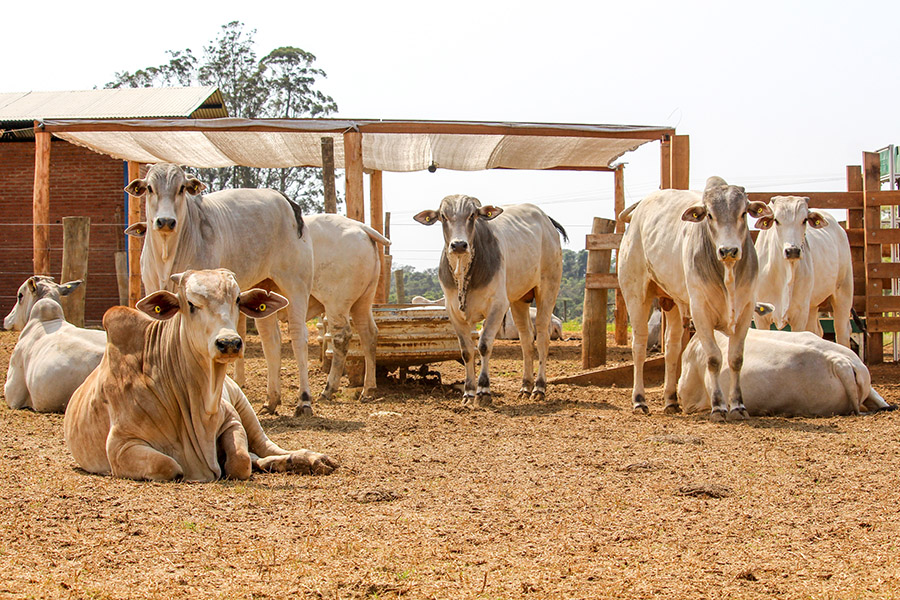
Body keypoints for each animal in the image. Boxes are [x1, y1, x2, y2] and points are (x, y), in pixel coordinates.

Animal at [64, 268, 338, 482]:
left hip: (244, 405)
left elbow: (240, 461)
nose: (229, 342)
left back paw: (309, 460)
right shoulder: (121, 445)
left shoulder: (232, 419)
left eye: (237, 300)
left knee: (265, 448)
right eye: (190, 304)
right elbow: (170, 465)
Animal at [414, 195, 564, 406]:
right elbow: (467, 351)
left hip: (548, 288)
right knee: (526, 339)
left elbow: (484, 346)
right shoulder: (453, 312)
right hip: (519, 300)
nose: (459, 245)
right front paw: (468, 392)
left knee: (542, 337)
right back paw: (525, 387)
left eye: (473, 215)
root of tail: (546, 219)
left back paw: (539, 388)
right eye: (443, 216)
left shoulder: (497, 306)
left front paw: (483, 390)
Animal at [620, 177, 772, 422]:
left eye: (743, 213)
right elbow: (714, 358)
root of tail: (640, 208)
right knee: (639, 345)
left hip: (671, 302)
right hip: (636, 295)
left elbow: (736, 359)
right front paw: (718, 407)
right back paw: (639, 400)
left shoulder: (746, 310)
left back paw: (671, 400)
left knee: (672, 348)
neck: (727, 273)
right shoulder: (700, 311)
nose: (728, 250)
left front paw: (738, 406)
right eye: (709, 215)